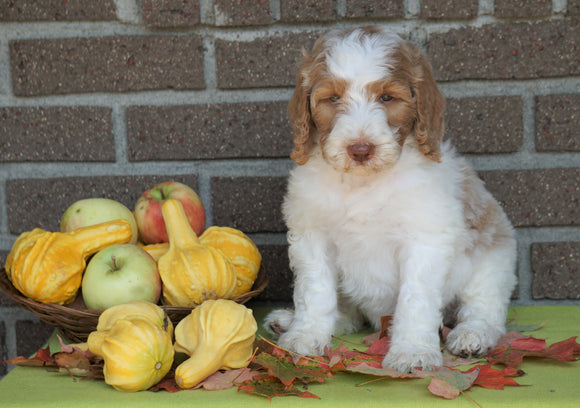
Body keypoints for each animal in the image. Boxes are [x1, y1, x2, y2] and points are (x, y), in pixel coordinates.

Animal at [264, 26, 516, 372]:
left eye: (387, 98)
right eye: (333, 98)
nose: (360, 149)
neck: (363, 182)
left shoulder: (425, 239)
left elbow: (416, 298)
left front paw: (412, 351)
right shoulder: (312, 235)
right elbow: (315, 290)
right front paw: (305, 335)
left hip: (494, 261)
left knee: (483, 308)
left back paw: (472, 335)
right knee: (350, 315)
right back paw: (289, 322)